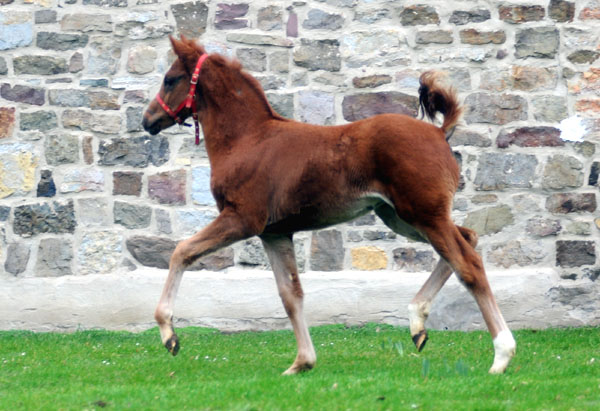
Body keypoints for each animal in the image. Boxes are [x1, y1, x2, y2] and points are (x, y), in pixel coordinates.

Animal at [142, 37, 516, 374]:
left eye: (170, 79)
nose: (148, 120)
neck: (247, 139)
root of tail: (439, 133)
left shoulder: (242, 219)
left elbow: (182, 251)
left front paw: (169, 335)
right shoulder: (275, 233)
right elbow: (290, 294)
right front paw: (302, 362)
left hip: (423, 215)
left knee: (468, 265)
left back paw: (501, 355)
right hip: (400, 216)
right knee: (467, 238)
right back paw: (417, 322)